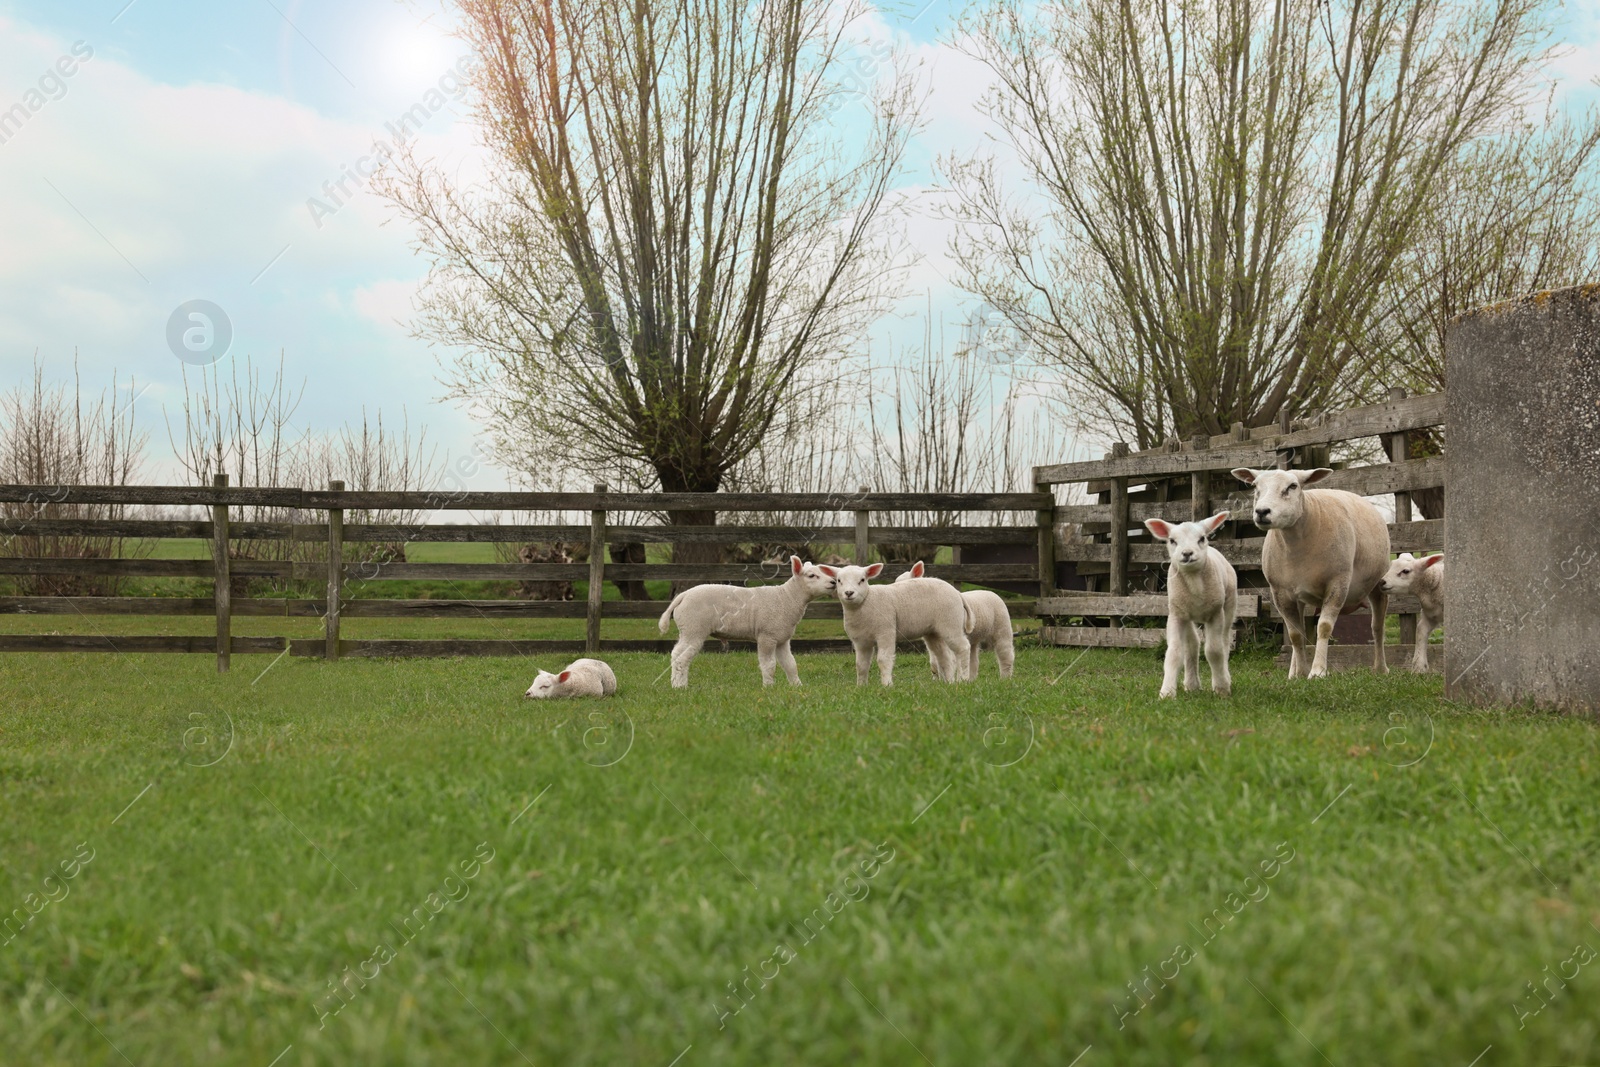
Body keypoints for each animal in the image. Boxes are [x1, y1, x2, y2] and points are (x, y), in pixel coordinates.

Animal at [652, 556, 832, 687]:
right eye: (811, 575)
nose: (832, 582)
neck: (788, 598)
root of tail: (683, 596)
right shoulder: (766, 636)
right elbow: (769, 665)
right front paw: (769, 687)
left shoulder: (782, 639)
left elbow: (790, 664)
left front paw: (797, 686)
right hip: (693, 628)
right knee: (681, 658)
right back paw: (680, 687)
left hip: (688, 630)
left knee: (676, 654)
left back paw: (675, 684)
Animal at [825, 563, 972, 687]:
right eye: (839, 581)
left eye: (862, 580)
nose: (849, 593)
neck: (867, 602)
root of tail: (957, 593)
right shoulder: (860, 641)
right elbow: (861, 665)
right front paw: (861, 687)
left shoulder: (886, 632)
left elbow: (883, 659)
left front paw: (887, 685)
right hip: (933, 632)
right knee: (944, 656)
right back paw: (949, 682)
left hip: (951, 624)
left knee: (963, 648)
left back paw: (963, 679)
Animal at [1145, 511, 1241, 697]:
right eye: (1172, 540)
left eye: (1201, 538)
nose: (1187, 553)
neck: (1194, 581)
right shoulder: (1177, 614)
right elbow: (1174, 653)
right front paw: (1167, 692)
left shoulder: (1215, 613)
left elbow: (1214, 651)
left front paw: (1221, 689)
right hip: (1187, 614)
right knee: (1192, 645)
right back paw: (1192, 684)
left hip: (1229, 605)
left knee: (1225, 642)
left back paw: (1225, 678)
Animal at [1228, 463, 1395, 675]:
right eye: (1256, 486)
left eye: (1292, 486)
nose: (1262, 511)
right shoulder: (1280, 592)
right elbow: (1295, 634)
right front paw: (1301, 672)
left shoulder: (1338, 583)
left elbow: (1323, 627)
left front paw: (1317, 671)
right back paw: (1293, 672)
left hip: (1379, 584)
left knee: (1377, 627)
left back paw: (1381, 668)